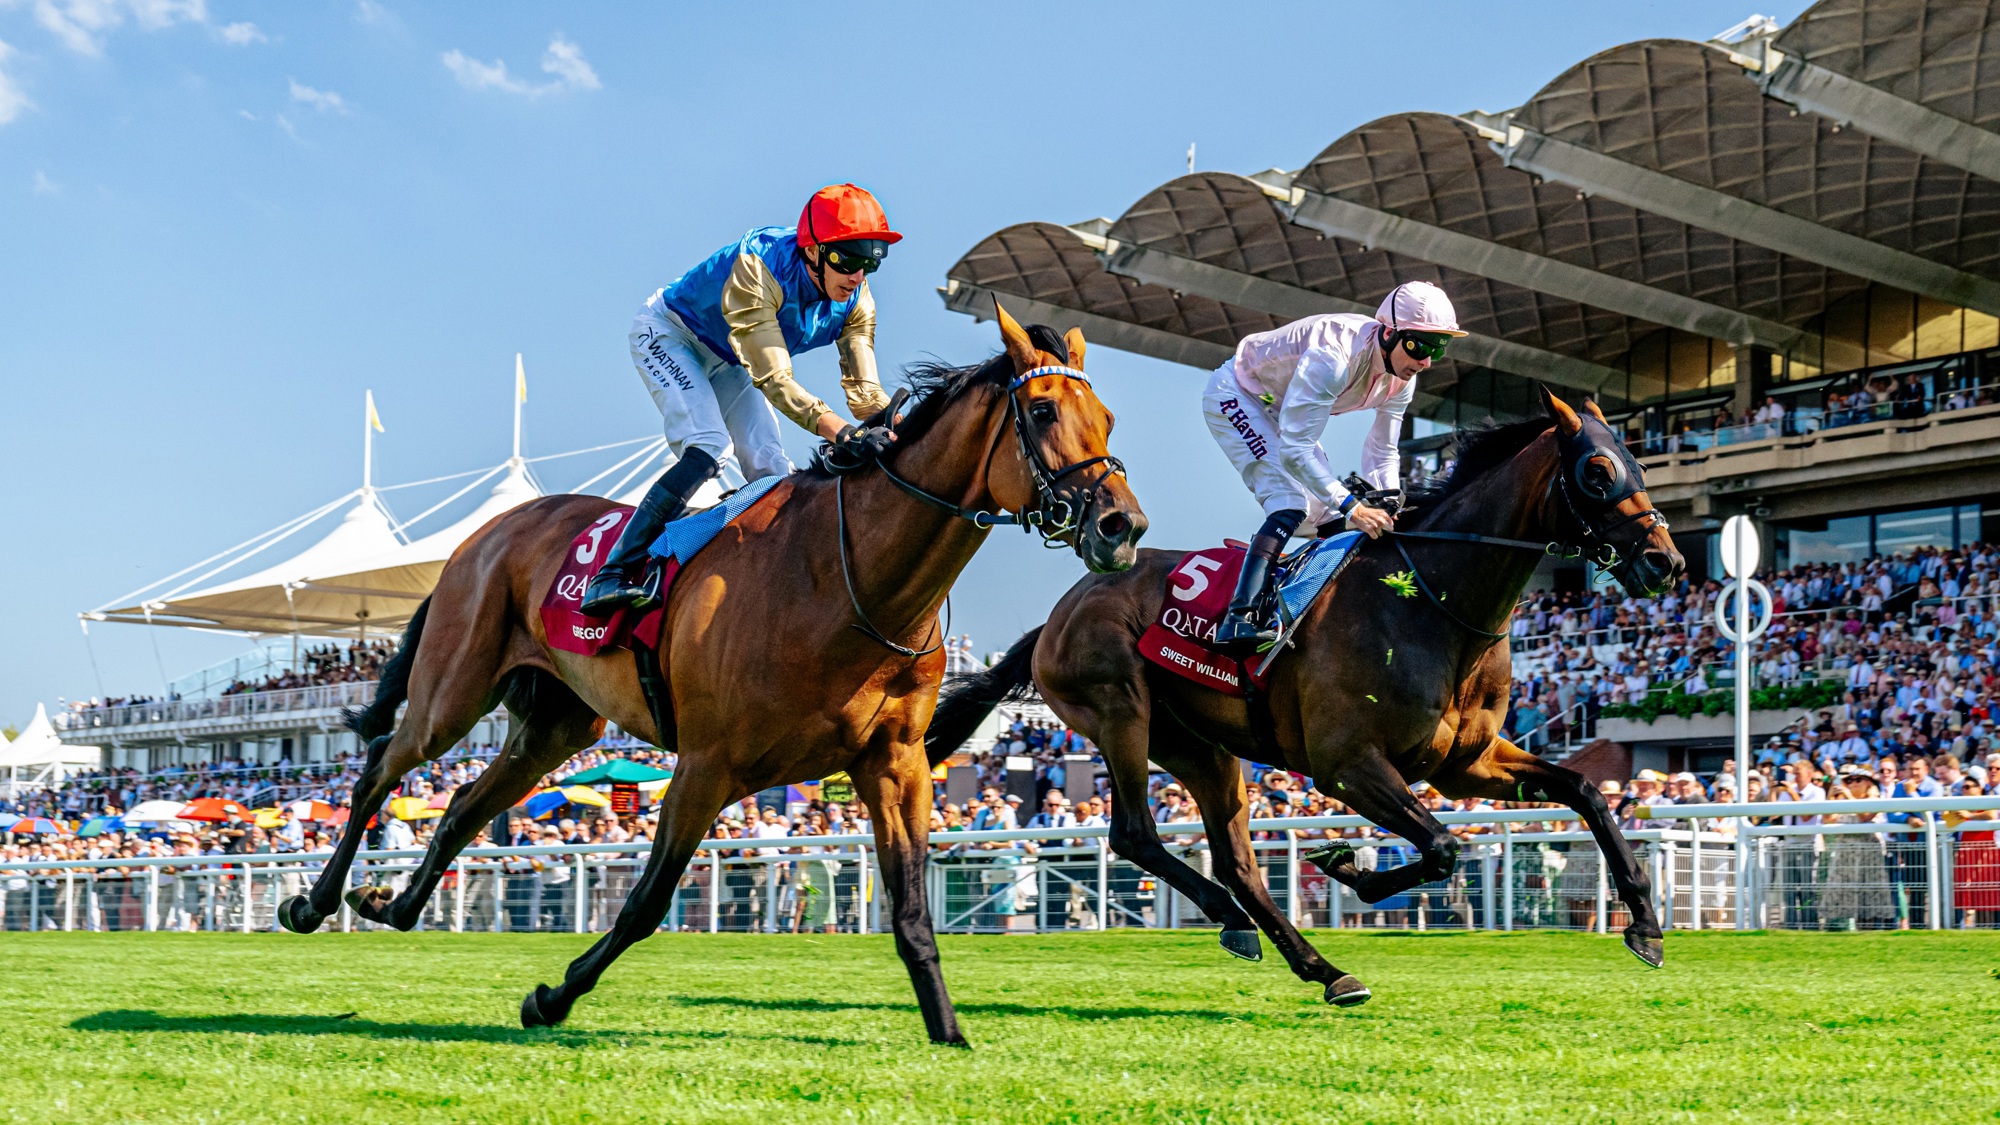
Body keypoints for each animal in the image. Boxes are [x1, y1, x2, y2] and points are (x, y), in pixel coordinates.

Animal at [276, 300, 1152, 1040]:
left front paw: (949, 1031)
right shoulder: (706, 764)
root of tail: (483, 535)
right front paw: (550, 997)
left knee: (460, 805)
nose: (1123, 524)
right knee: (379, 768)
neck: (848, 580)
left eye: (1108, 417)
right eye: (1042, 411)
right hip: (453, 692)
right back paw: (312, 901)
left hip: (558, 724)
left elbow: (911, 910)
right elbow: (645, 902)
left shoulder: (894, 763)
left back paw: (391, 902)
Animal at [928, 384, 1680, 996]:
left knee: (1238, 862)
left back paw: (1314, 963)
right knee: (1137, 834)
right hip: (1124, 714)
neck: (1428, 602)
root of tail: (1058, 613)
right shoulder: (1346, 765)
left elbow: (1585, 793)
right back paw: (1242, 924)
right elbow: (1442, 845)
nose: (1665, 562)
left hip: (1203, 748)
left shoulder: (1465, 762)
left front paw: (1645, 925)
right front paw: (1348, 865)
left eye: (1641, 464)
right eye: (1597, 471)